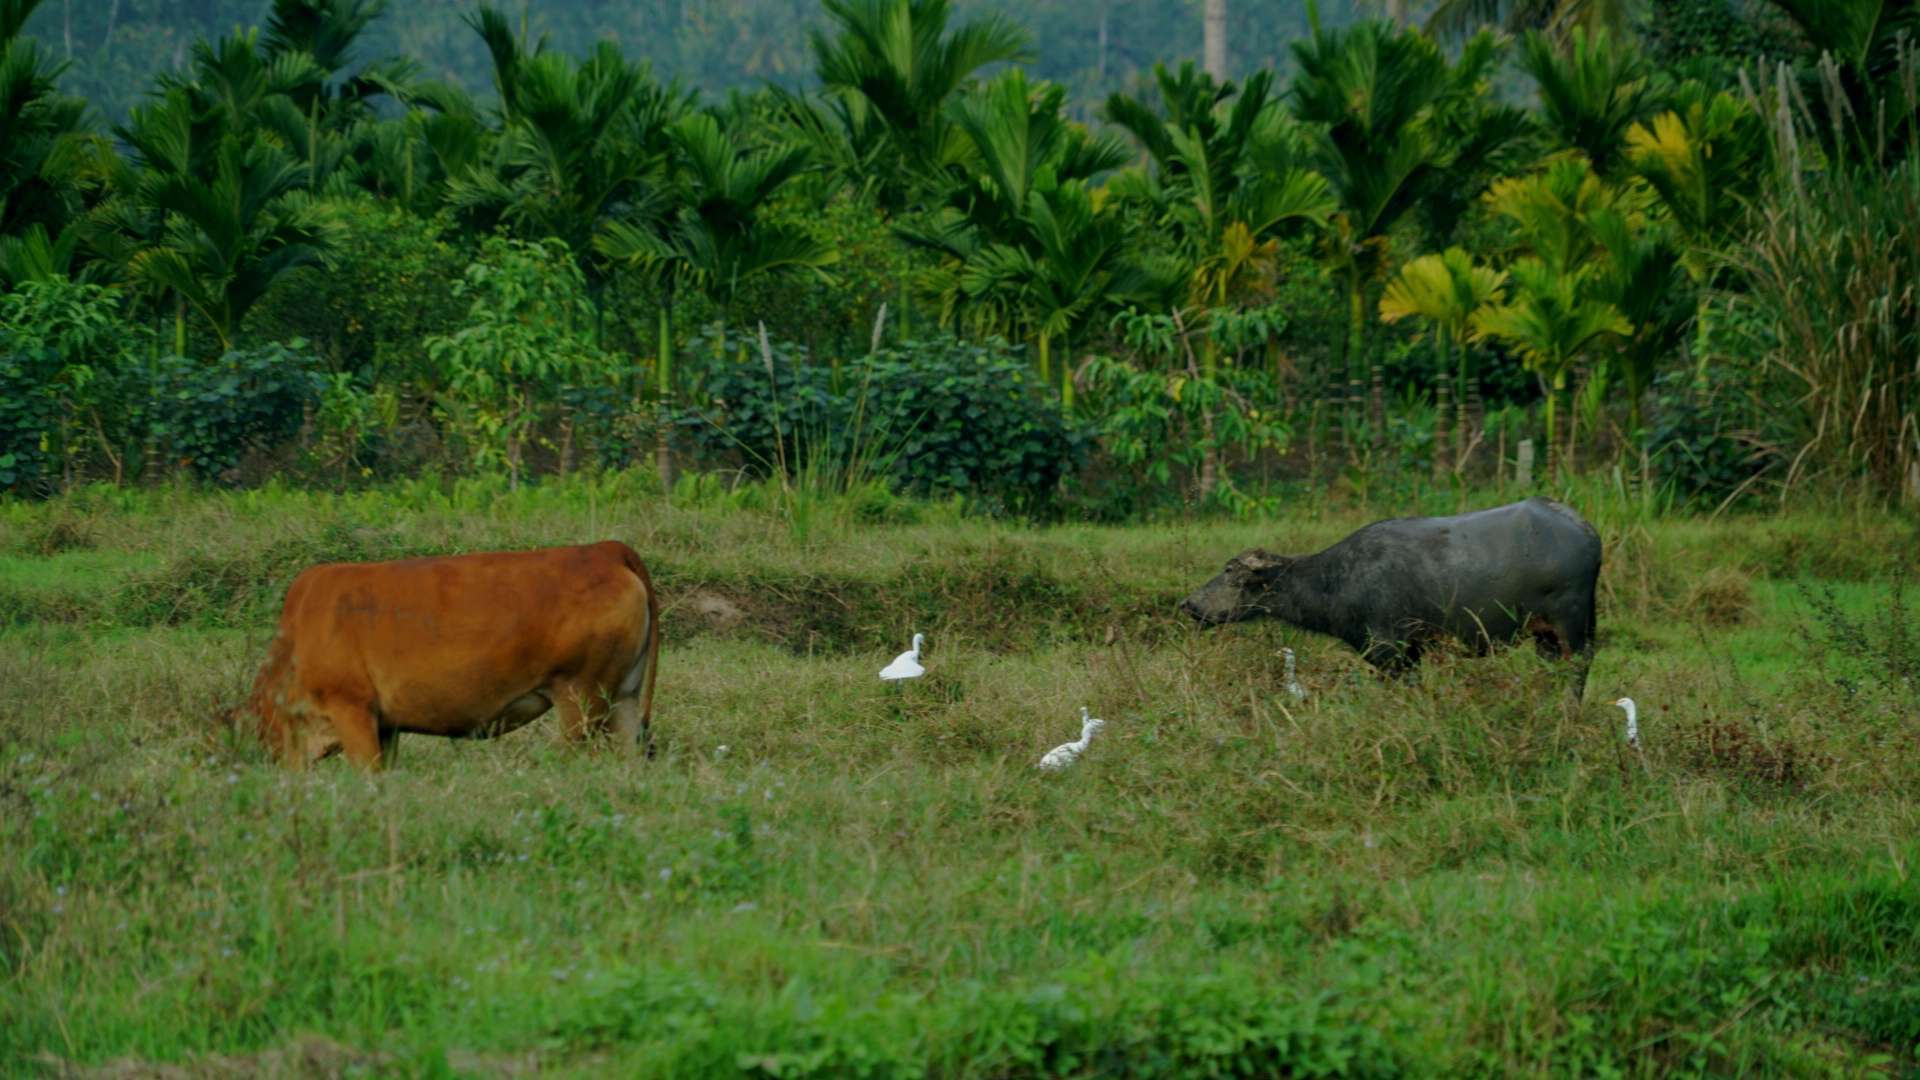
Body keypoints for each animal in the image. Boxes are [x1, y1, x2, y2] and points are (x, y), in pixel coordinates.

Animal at [1182, 495, 1605, 691]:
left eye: (1230, 571)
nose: (1189, 603)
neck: (1336, 580)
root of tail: (1586, 530)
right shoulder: (1411, 653)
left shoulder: (1392, 651)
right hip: (1546, 635)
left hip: (1571, 623)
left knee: (1579, 666)